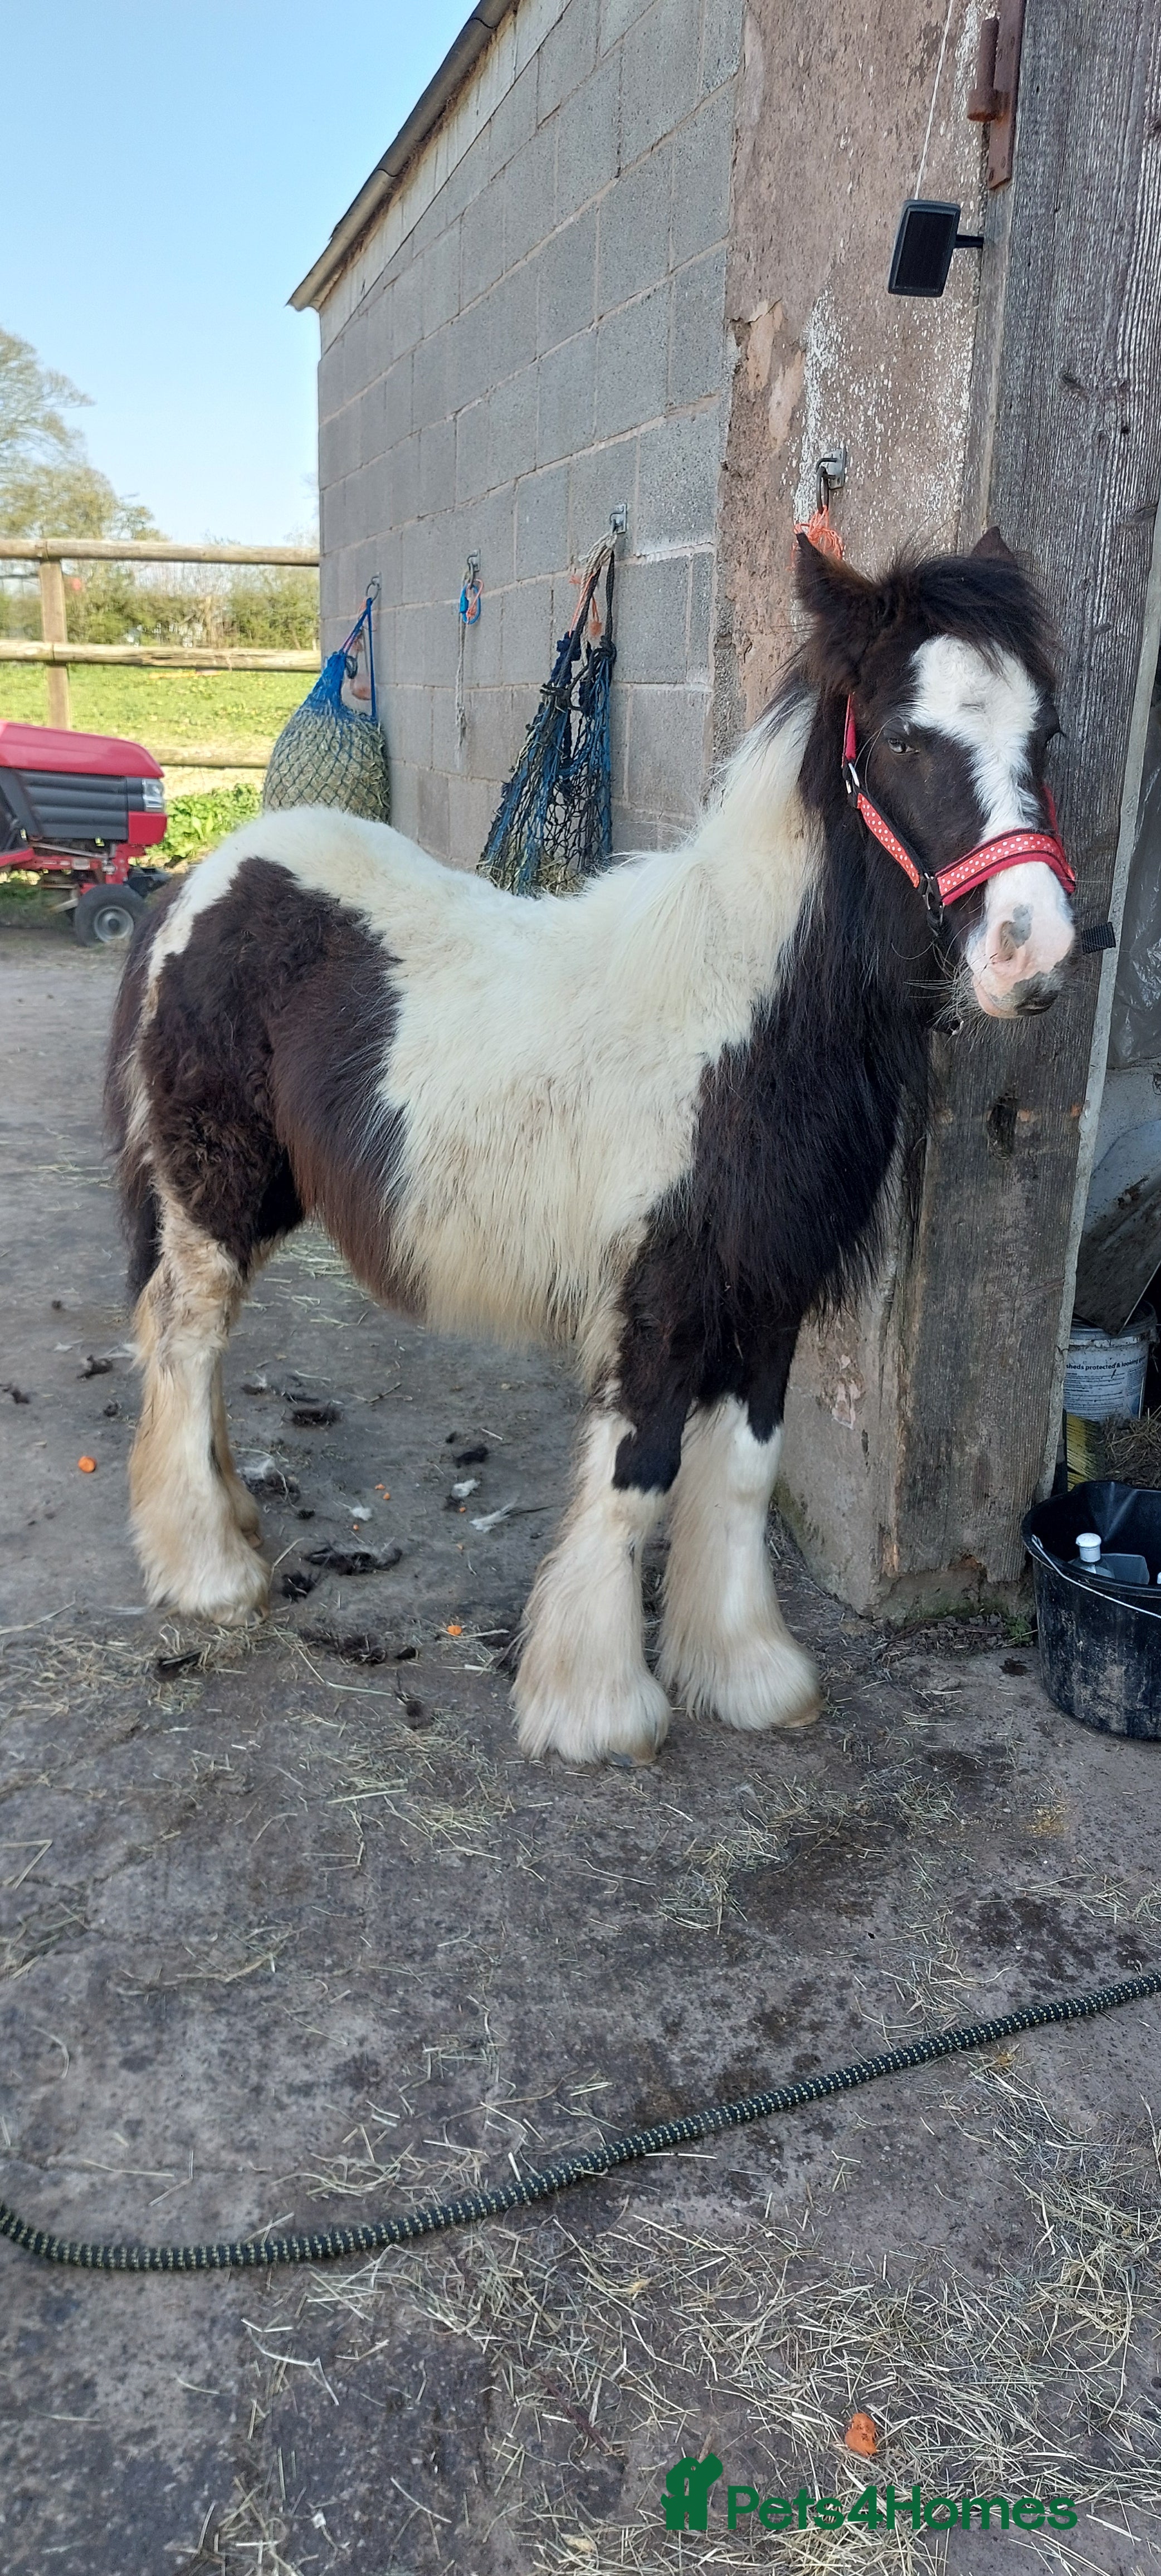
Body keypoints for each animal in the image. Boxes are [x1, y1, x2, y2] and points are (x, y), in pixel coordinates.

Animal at [106, 531, 1076, 1766]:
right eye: (905, 735)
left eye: (1042, 735)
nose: (1033, 951)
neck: (742, 1019)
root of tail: (208, 877)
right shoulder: (657, 1292)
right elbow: (639, 1470)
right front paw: (596, 1706)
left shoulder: (768, 1285)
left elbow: (742, 1469)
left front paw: (744, 1671)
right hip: (211, 1187)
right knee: (184, 1339)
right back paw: (211, 1571)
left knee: (192, 1345)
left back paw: (229, 1521)